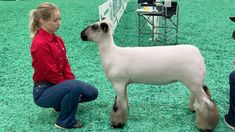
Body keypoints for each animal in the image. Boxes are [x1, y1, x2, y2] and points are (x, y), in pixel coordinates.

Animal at [81, 18, 220, 131]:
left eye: (94, 27)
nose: (81, 34)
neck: (110, 53)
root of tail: (198, 54)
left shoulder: (118, 83)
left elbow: (118, 105)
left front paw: (117, 124)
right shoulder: (124, 84)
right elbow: (124, 102)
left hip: (193, 81)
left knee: (207, 102)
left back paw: (205, 126)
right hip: (195, 81)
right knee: (204, 93)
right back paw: (194, 110)